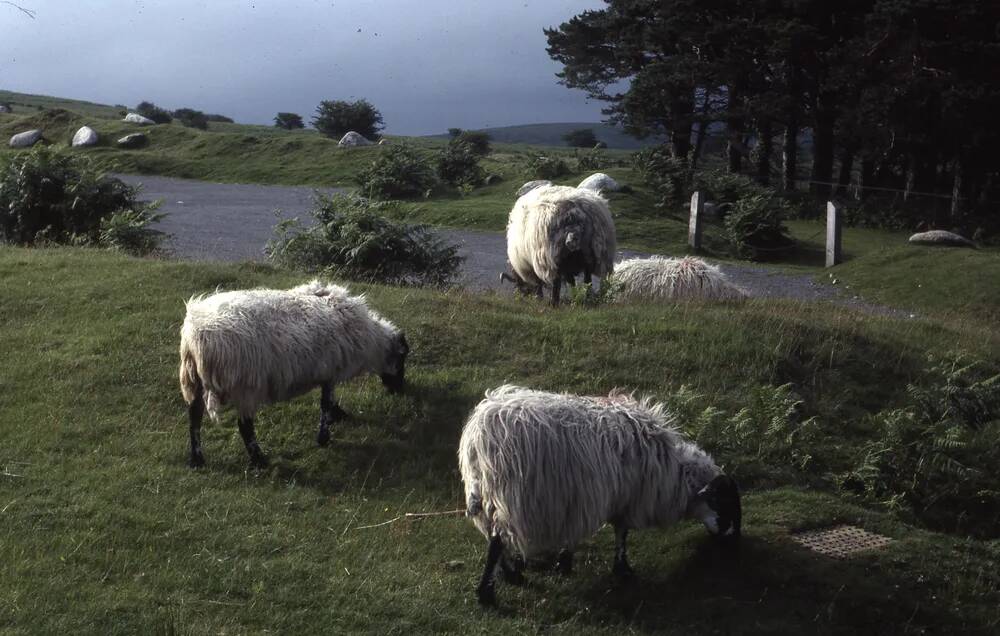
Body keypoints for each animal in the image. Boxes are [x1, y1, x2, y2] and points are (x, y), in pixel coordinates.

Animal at [181, 278, 410, 468]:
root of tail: (197, 333)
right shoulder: (331, 370)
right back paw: (259, 460)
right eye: (402, 358)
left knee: (194, 417)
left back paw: (197, 459)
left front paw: (338, 415)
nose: (400, 390)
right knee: (244, 426)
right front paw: (324, 437)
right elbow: (325, 403)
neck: (371, 341)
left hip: (192, 378)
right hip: (245, 385)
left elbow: (329, 401)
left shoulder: (327, 371)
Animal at [460, 386, 744, 604]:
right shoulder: (626, 498)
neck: (674, 474)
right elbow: (621, 534)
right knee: (497, 540)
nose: (732, 540)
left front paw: (565, 562)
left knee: (492, 532)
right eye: (726, 502)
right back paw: (487, 593)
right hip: (512, 496)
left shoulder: (577, 499)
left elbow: (578, 536)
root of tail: (480, 436)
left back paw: (510, 574)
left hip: (487, 495)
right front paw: (622, 570)